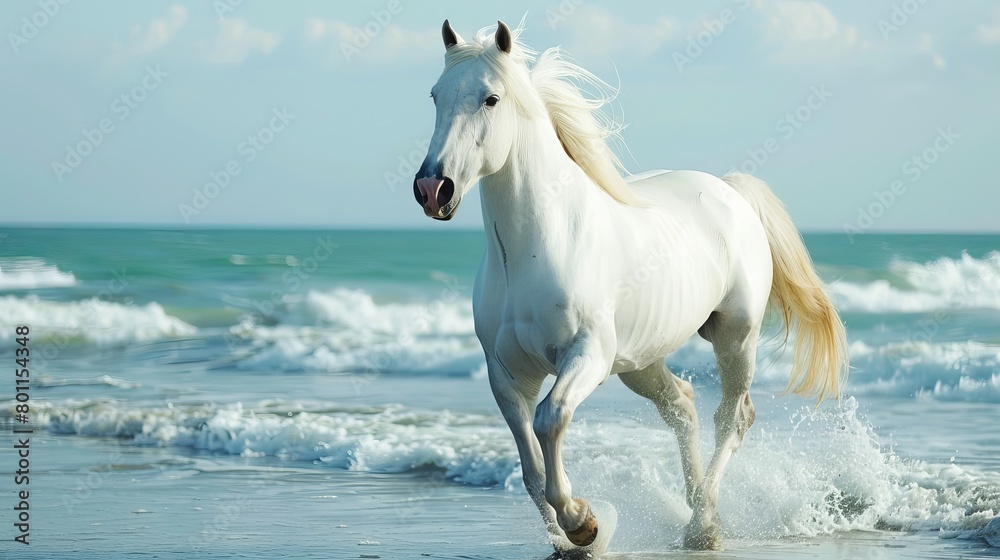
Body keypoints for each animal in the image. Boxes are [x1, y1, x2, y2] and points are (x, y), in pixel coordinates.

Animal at [411, 20, 849, 555]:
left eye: (491, 98)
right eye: (436, 95)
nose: (433, 188)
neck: (535, 249)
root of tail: (730, 190)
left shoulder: (588, 355)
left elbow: (550, 419)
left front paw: (582, 522)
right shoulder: (506, 375)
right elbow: (530, 466)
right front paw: (569, 537)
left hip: (733, 336)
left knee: (732, 417)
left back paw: (703, 525)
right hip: (641, 359)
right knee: (682, 406)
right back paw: (695, 507)